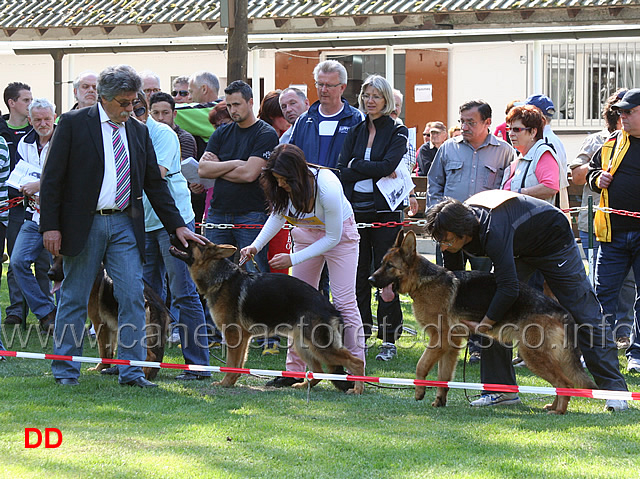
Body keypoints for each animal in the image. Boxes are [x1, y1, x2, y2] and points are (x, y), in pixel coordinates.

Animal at [169, 239, 364, 394]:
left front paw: (225, 383)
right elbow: (239, 364)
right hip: (302, 345)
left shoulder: (233, 336)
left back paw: (358, 389)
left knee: (356, 362)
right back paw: (302, 386)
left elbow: (232, 363)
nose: (172, 233)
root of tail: (331, 307)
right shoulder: (243, 339)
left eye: (192, 242)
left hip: (319, 346)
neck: (221, 278)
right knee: (319, 371)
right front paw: (231, 382)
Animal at [368, 231, 596, 414]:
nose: (370, 280)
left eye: (389, 266)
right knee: (563, 381)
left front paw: (419, 391)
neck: (423, 281)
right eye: (381, 263)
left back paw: (559, 411)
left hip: (533, 355)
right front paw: (439, 400)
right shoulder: (450, 345)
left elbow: (421, 365)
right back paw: (554, 406)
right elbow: (443, 376)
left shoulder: (439, 340)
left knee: (565, 382)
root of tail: (560, 310)